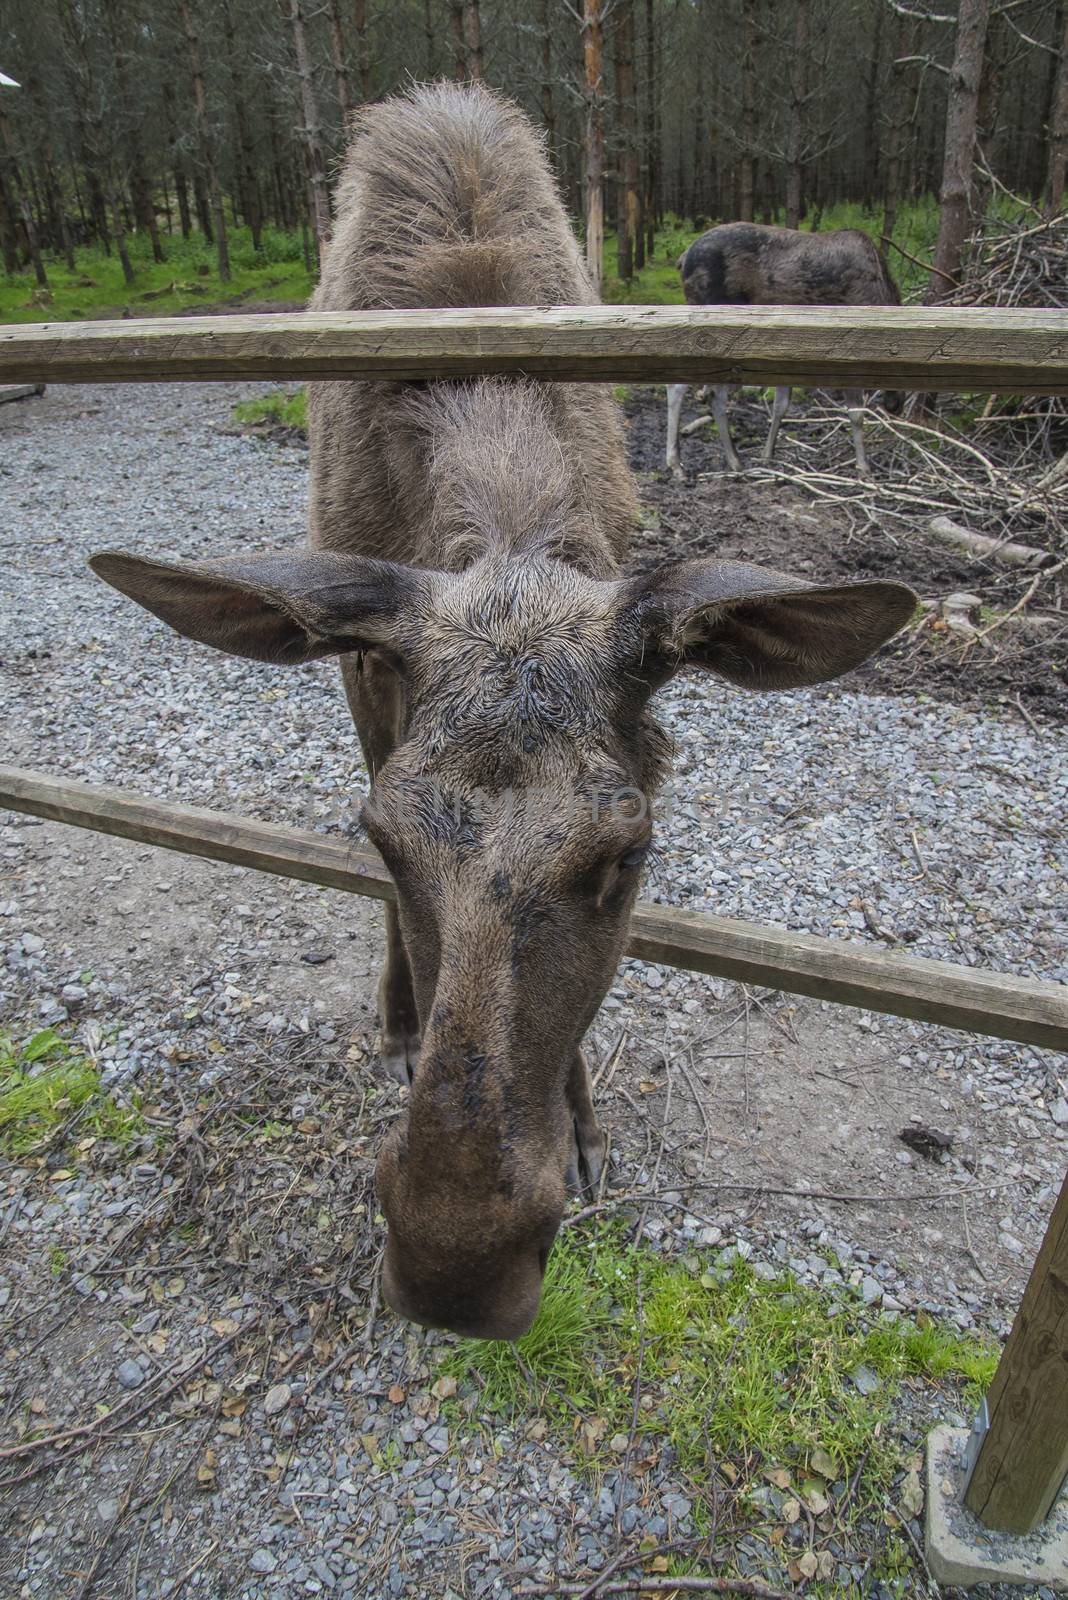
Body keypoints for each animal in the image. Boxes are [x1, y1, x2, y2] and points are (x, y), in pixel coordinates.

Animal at [668, 222, 901, 476]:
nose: (895, 405)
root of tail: (683, 258)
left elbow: (781, 405)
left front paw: (767, 453)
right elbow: (856, 414)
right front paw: (863, 466)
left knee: (710, 394)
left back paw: (733, 460)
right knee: (684, 387)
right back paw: (678, 464)